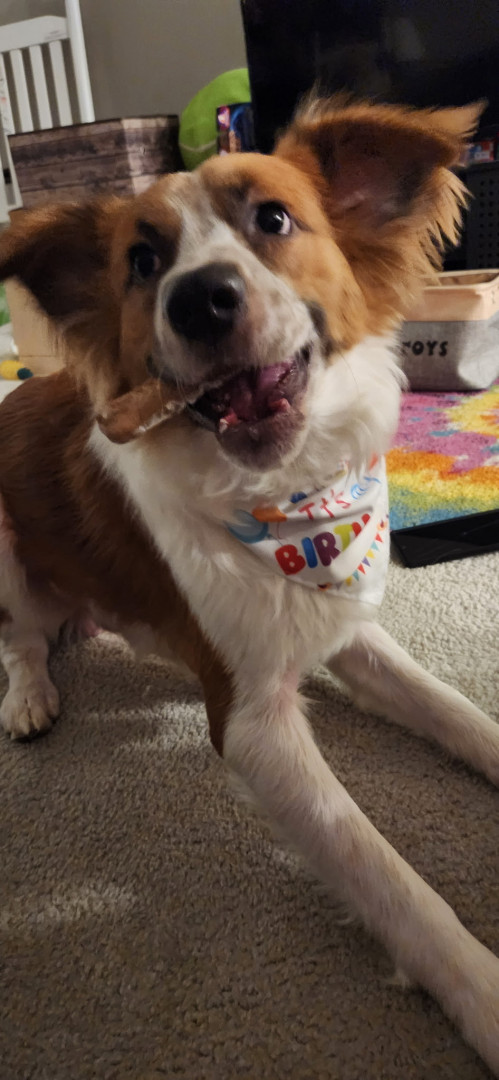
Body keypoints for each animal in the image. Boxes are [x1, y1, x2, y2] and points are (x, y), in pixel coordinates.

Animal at [0, 97, 498, 1073]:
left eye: (273, 219)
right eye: (142, 263)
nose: (200, 298)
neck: (283, 494)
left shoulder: (348, 629)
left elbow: (456, 711)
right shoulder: (252, 724)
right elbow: (387, 877)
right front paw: (485, 996)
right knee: (23, 638)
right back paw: (29, 694)